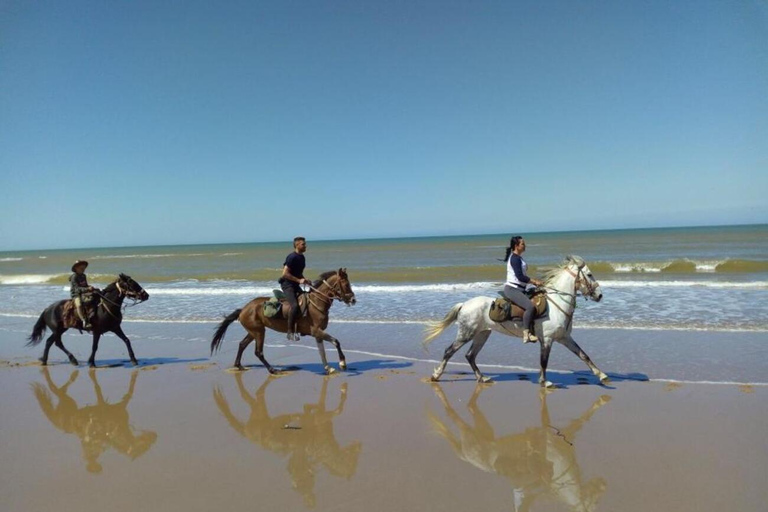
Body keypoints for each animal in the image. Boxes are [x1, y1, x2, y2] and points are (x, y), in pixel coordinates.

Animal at [208, 270, 356, 374]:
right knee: (258, 352)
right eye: (346, 284)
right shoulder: (316, 331)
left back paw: (239, 365)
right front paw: (342, 363)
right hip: (259, 332)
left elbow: (322, 351)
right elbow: (336, 341)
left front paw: (328, 368)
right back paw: (272, 370)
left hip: (254, 331)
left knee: (242, 344)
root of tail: (243, 309)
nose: (353, 300)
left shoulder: (317, 333)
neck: (317, 303)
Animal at [424, 256, 608, 388]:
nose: (599, 295)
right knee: (449, 351)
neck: (557, 305)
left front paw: (602, 376)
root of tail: (464, 304)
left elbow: (583, 355)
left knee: (470, 355)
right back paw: (436, 375)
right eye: (589, 275)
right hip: (466, 333)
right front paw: (545, 382)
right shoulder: (547, 340)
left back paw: (482, 378)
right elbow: (544, 361)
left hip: (482, 334)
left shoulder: (564, 338)